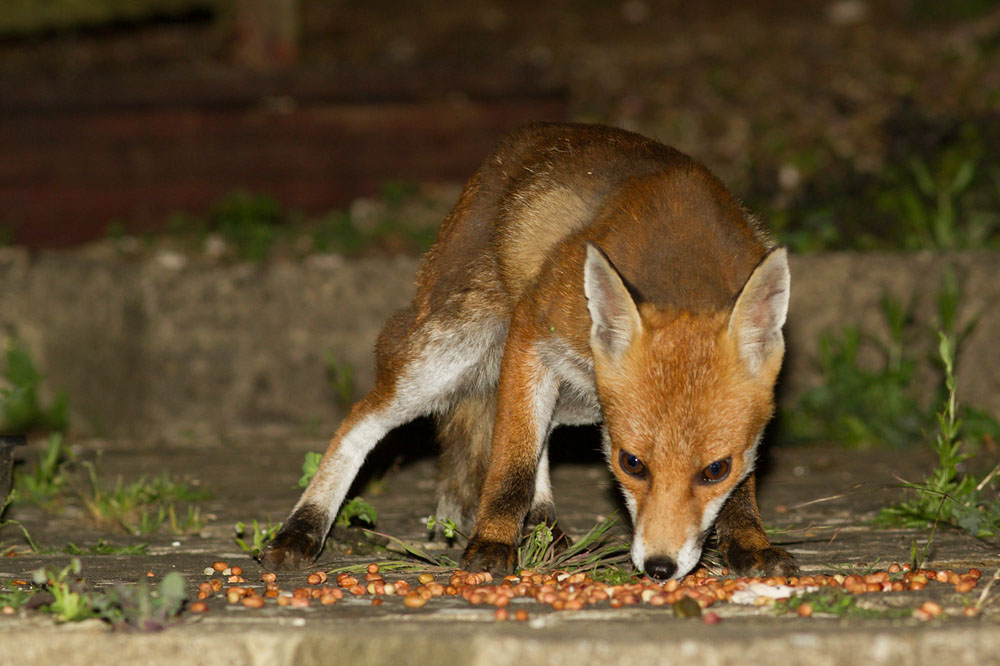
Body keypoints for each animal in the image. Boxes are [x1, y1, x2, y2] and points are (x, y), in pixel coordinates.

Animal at [260, 122, 797, 580]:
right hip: (451, 356)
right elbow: (511, 461)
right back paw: (302, 528)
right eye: (631, 464)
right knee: (362, 420)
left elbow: (742, 490)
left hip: (581, 396)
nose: (659, 568)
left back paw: (542, 526)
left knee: (539, 430)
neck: (685, 267)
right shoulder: (533, 331)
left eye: (715, 470)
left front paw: (749, 542)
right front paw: (493, 543)